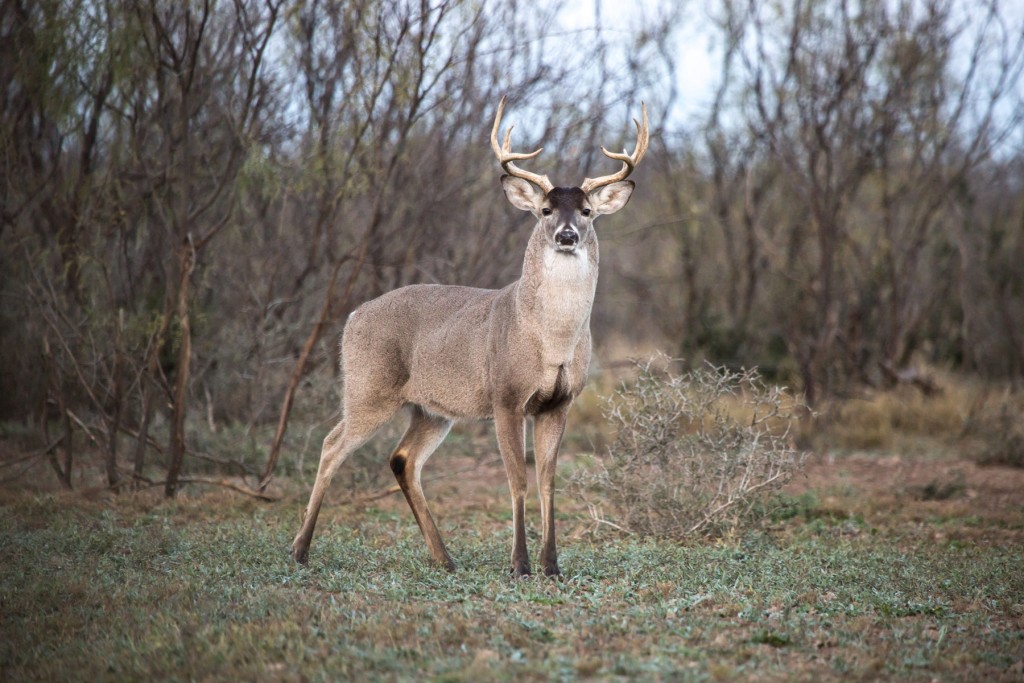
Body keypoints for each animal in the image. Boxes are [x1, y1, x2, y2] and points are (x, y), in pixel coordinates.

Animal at [290, 96, 647, 577]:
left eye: (587, 211)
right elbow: (516, 480)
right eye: (545, 211)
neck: (550, 340)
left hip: (431, 409)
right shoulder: (506, 395)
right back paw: (300, 550)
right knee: (331, 446)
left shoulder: (559, 403)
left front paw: (552, 566)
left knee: (403, 459)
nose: (567, 234)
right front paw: (520, 565)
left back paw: (444, 558)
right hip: (368, 386)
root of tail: (352, 316)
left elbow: (548, 482)